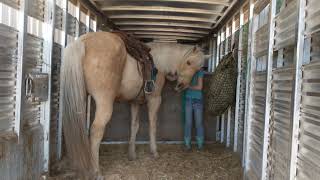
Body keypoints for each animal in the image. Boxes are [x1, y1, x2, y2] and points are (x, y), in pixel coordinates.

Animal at [60, 31, 205, 176]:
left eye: (199, 68)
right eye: (188, 62)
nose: (181, 86)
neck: (160, 61)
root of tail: (83, 41)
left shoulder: (135, 103)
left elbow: (134, 126)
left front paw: (132, 154)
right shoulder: (155, 100)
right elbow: (152, 125)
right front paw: (154, 151)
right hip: (104, 101)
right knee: (96, 131)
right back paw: (96, 171)